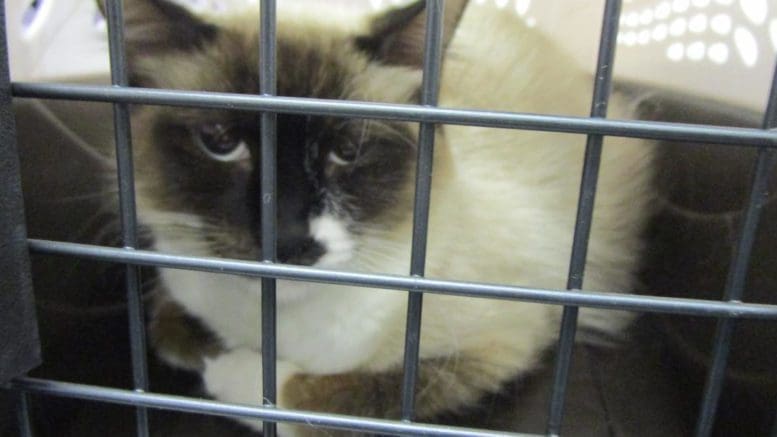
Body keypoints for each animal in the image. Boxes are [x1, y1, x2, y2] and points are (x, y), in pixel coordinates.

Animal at [112, 0, 656, 432]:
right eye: (222, 143)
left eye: (348, 151)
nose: (288, 240)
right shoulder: (176, 292)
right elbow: (171, 333)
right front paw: (212, 352)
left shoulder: (493, 347)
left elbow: (307, 396)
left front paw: (230, 374)